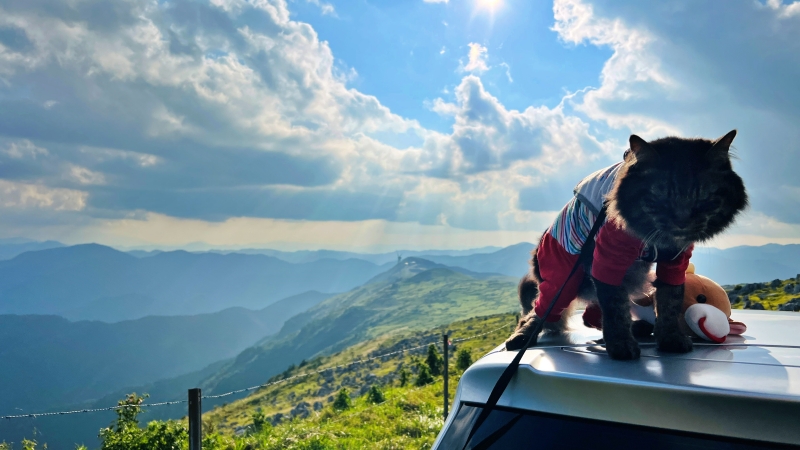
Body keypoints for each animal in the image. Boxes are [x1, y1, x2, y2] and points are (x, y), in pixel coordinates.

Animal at [506, 130, 752, 358]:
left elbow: (670, 302)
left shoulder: (675, 262)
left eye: (703, 197)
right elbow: (615, 307)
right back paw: (521, 337)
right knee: (537, 312)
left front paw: (670, 338)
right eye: (662, 196)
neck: (656, 239)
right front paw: (621, 345)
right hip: (563, 281)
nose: (682, 221)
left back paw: (639, 328)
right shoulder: (609, 259)